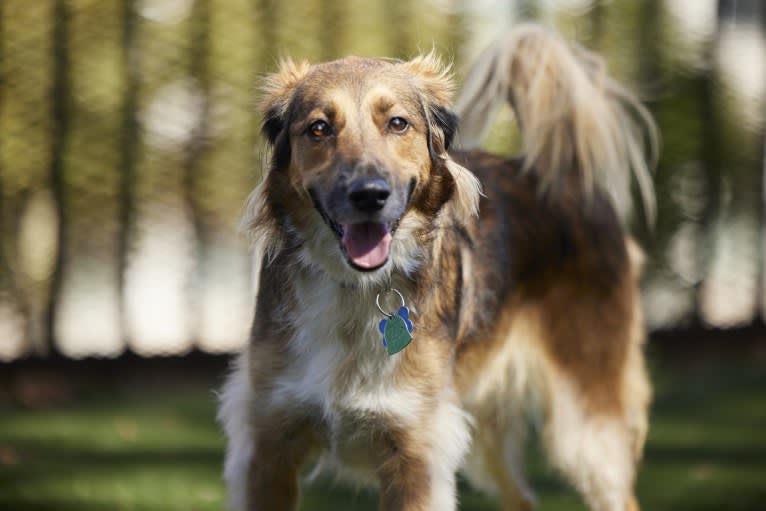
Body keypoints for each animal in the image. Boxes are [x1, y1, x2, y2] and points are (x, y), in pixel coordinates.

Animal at [219, 23, 656, 511]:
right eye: (319, 128)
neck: (354, 291)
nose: (369, 195)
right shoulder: (266, 444)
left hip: (588, 427)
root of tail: (562, 177)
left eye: (397, 123)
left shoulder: (416, 452)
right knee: (523, 498)